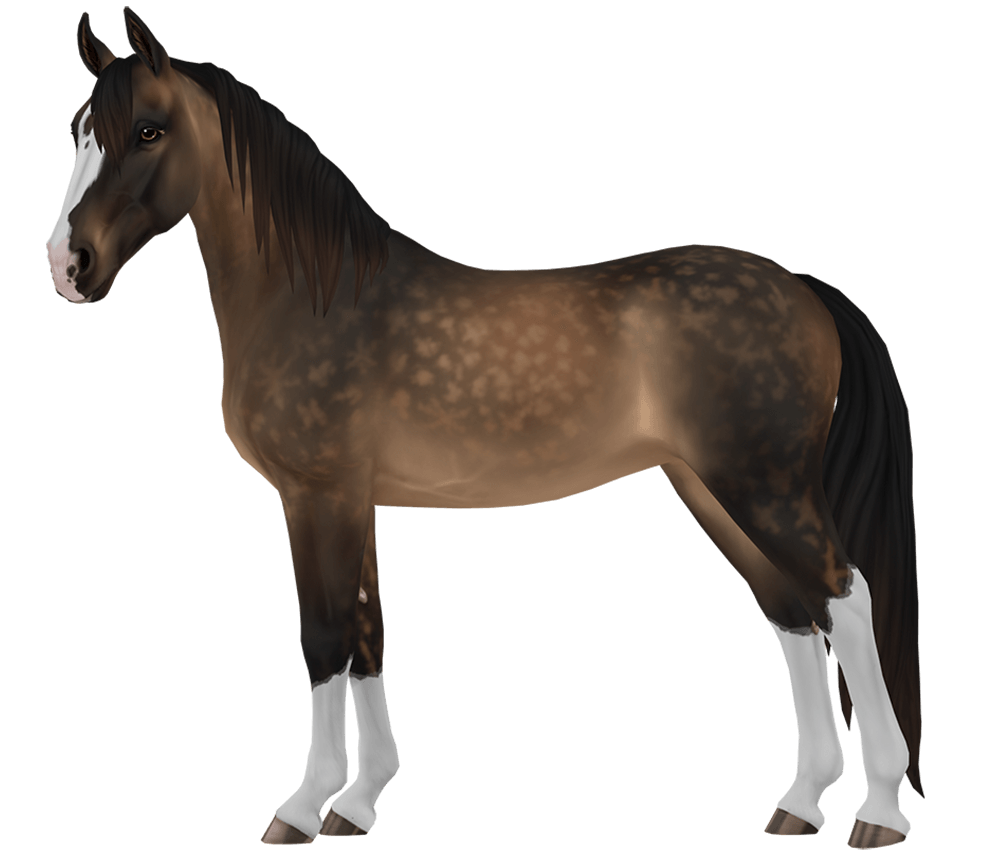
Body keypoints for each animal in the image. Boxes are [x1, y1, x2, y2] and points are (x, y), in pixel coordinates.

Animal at [46, 8, 921, 845]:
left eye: (149, 130)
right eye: (80, 129)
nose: (67, 265)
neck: (317, 297)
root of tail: (802, 289)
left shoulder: (316, 496)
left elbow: (326, 640)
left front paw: (299, 809)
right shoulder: (353, 499)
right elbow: (368, 635)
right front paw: (358, 802)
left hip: (765, 488)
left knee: (847, 598)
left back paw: (878, 811)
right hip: (713, 490)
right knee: (795, 612)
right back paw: (799, 803)